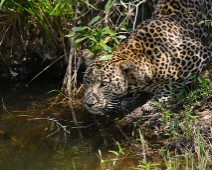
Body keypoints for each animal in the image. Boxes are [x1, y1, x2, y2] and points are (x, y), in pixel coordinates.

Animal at [82, 0, 212, 114]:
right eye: (87, 81)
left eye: (104, 84)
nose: (88, 104)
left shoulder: (198, 52)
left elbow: (173, 85)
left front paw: (155, 101)